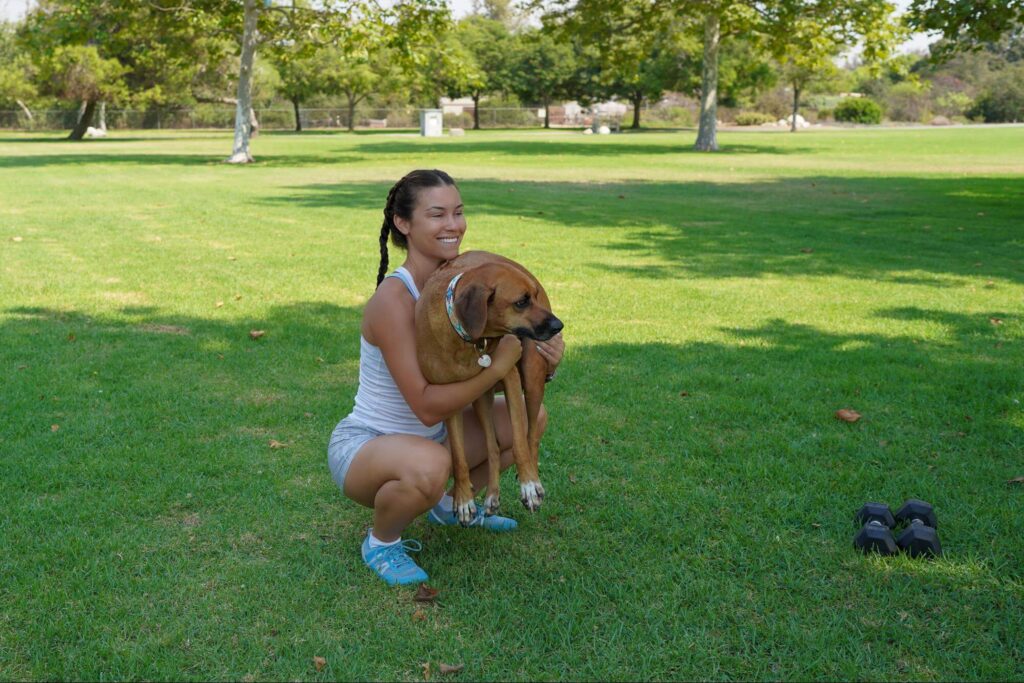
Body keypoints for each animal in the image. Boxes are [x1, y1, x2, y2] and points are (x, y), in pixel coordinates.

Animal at [413, 250, 565, 524]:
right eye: (521, 302)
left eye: (534, 296)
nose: (559, 325)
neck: (469, 339)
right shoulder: (448, 399)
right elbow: (458, 456)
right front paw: (463, 500)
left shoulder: (511, 377)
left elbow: (519, 442)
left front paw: (528, 486)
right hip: (481, 397)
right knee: (492, 446)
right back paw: (492, 495)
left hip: (532, 375)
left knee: (531, 436)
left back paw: (534, 481)